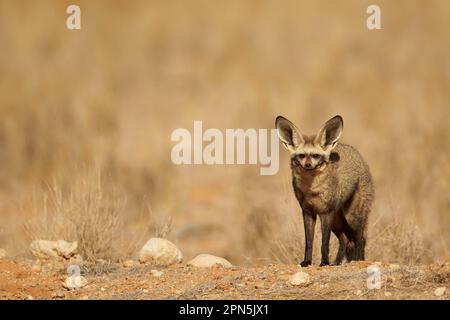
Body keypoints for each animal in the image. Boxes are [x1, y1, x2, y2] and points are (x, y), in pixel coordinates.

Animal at [276, 116, 374, 266]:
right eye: (301, 156)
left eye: (316, 156)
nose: (308, 165)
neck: (311, 191)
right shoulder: (308, 212)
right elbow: (309, 243)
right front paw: (307, 262)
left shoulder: (326, 212)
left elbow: (324, 243)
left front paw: (324, 262)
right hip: (337, 222)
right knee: (345, 240)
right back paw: (337, 263)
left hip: (352, 217)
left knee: (360, 240)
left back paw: (357, 260)